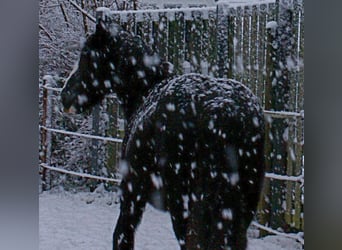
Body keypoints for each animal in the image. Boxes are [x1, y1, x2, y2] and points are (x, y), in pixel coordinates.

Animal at [60, 20, 266, 250]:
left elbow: (122, 235)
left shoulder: (132, 194)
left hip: (184, 207)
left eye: (87, 55)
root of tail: (228, 112)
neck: (146, 93)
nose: (64, 96)